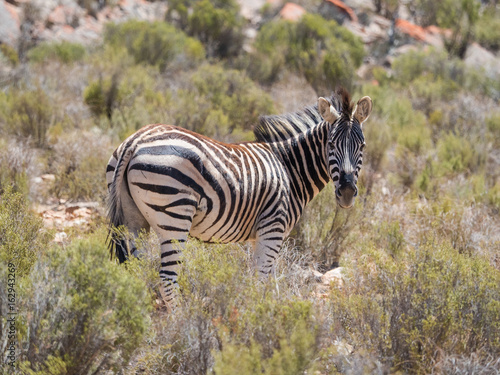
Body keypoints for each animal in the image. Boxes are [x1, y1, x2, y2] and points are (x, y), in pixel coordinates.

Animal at [106, 89, 372, 306]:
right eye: (331, 144)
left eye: (362, 146)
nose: (347, 193)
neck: (289, 168)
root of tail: (135, 140)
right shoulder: (273, 230)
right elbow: (261, 283)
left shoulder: (261, 236)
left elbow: (267, 285)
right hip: (175, 219)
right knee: (168, 280)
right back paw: (178, 323)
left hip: (133, 220)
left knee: (137, 270)